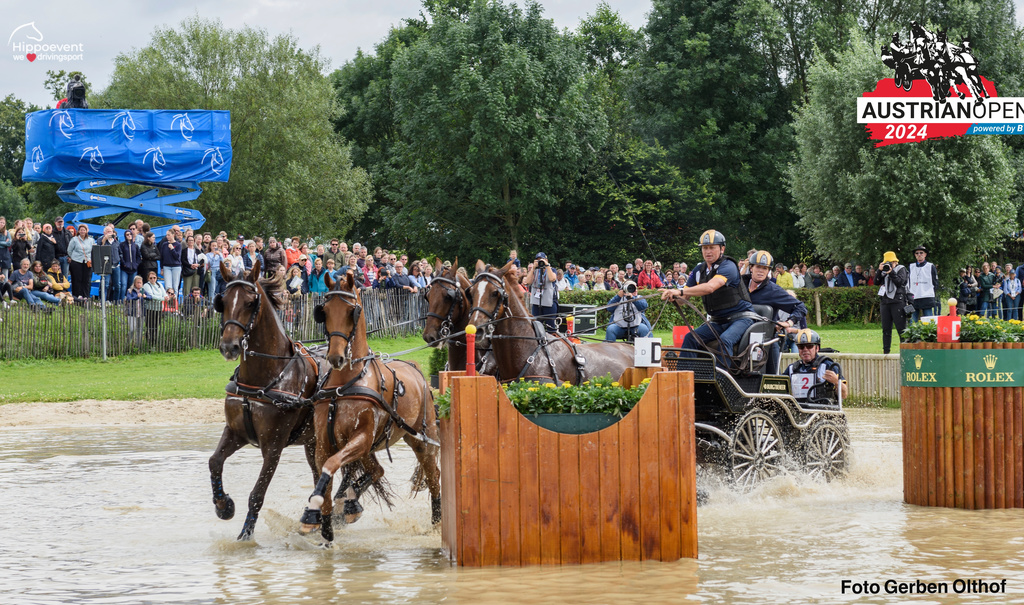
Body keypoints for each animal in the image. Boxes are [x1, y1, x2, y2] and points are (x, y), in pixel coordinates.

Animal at [207, 260, 331, 544]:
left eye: (250, 302)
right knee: (319, 473)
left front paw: (245, 537)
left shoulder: (273, 446)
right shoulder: (235, 432)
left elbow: (256, 495)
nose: (229, 347)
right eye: (222, 301)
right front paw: (223, 505)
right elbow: (214, 462)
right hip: (312, 443)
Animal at [296, 270, 440, 540]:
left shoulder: (360, 439)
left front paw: (317, 508)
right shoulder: (325, 442)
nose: (336, 357)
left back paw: (437, 521)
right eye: (324, 311)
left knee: (433, 476)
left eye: (351, 311)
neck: (345, 383)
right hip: (371, 449)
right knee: (378, 471)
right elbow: (326, 483)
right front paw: (322, 526)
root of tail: (415, 369)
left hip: (421, 440)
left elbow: (330, 468)